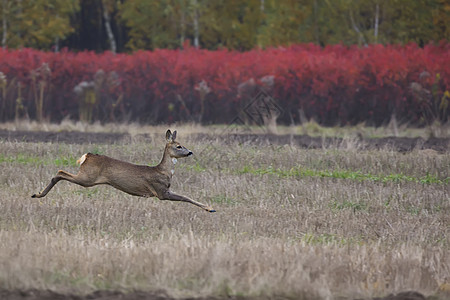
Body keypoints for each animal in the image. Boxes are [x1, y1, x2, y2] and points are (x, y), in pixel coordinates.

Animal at [31, 130, 216, 212]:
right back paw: (38, 194)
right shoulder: (161, 191)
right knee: (60, 172)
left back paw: (37, 194)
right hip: (87, 177)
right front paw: (210, 208)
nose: (190, 152)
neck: (163, 171)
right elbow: (185, 197)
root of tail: (87, 156)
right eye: (178, 146)